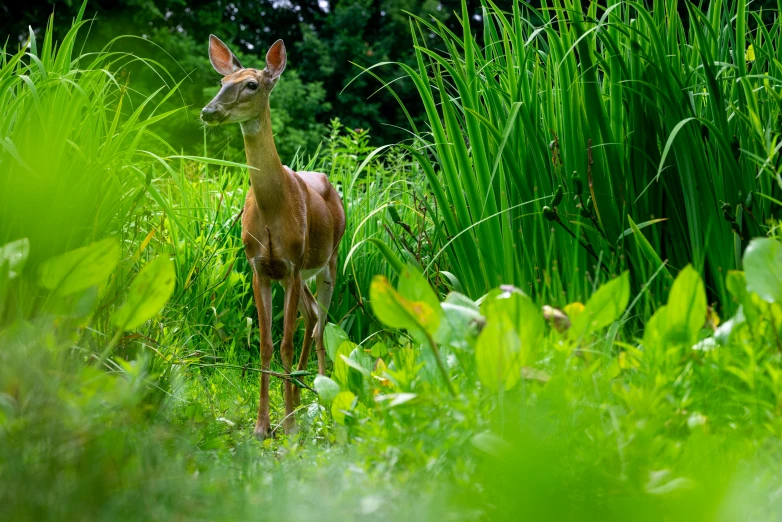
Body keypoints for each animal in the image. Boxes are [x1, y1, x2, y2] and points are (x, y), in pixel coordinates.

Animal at [202, 34, 346, 436]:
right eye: (222, 81)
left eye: (252, 84)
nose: (208, 111)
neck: (272, 209)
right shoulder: (260, 266)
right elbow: (266, 344)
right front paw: (262, 425)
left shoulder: (293, 263)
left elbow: (285, 343)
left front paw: (291, 426)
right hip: (297, 276)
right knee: (311, 318)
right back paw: (298, 393)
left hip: (328, 262)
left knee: (319, 327)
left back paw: (319, 400)